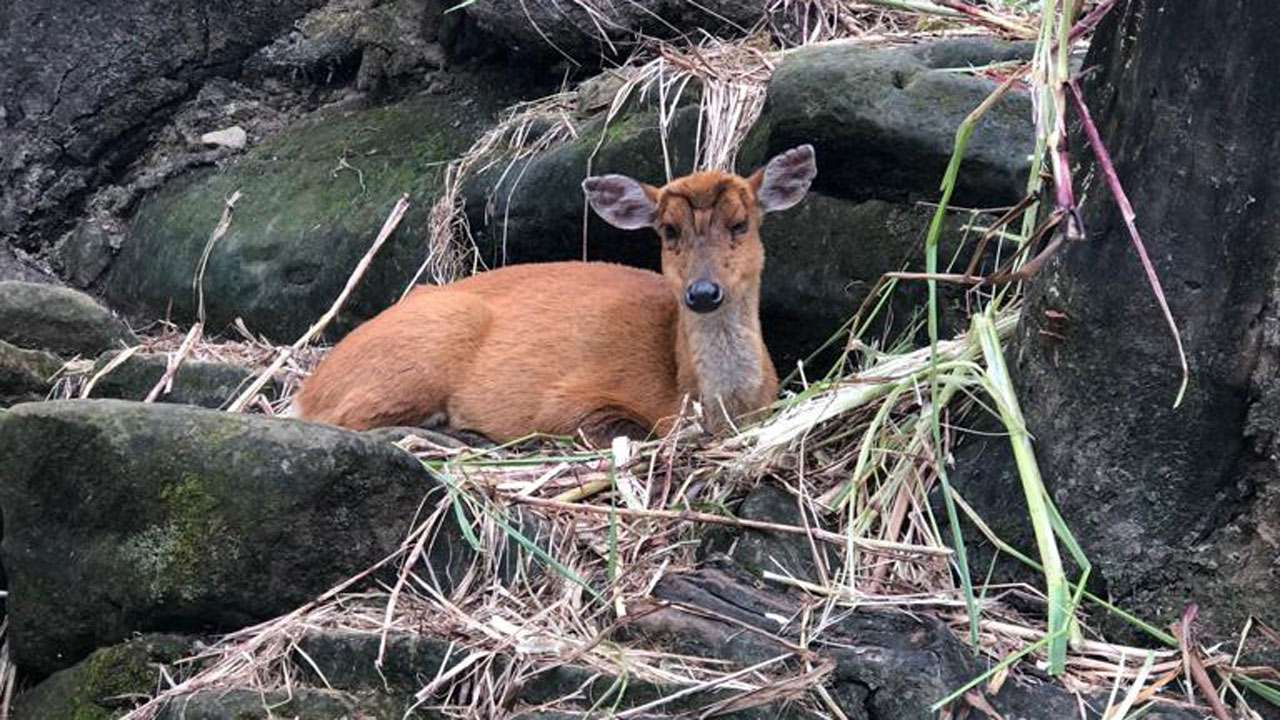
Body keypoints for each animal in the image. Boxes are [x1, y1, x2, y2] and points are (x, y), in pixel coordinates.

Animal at [285, 144, 814, 443]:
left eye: (740, 225)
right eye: (668, 231)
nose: (703, 293)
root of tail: (308, 389)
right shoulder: (567, 403)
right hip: (420, 351)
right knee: (344, 420)